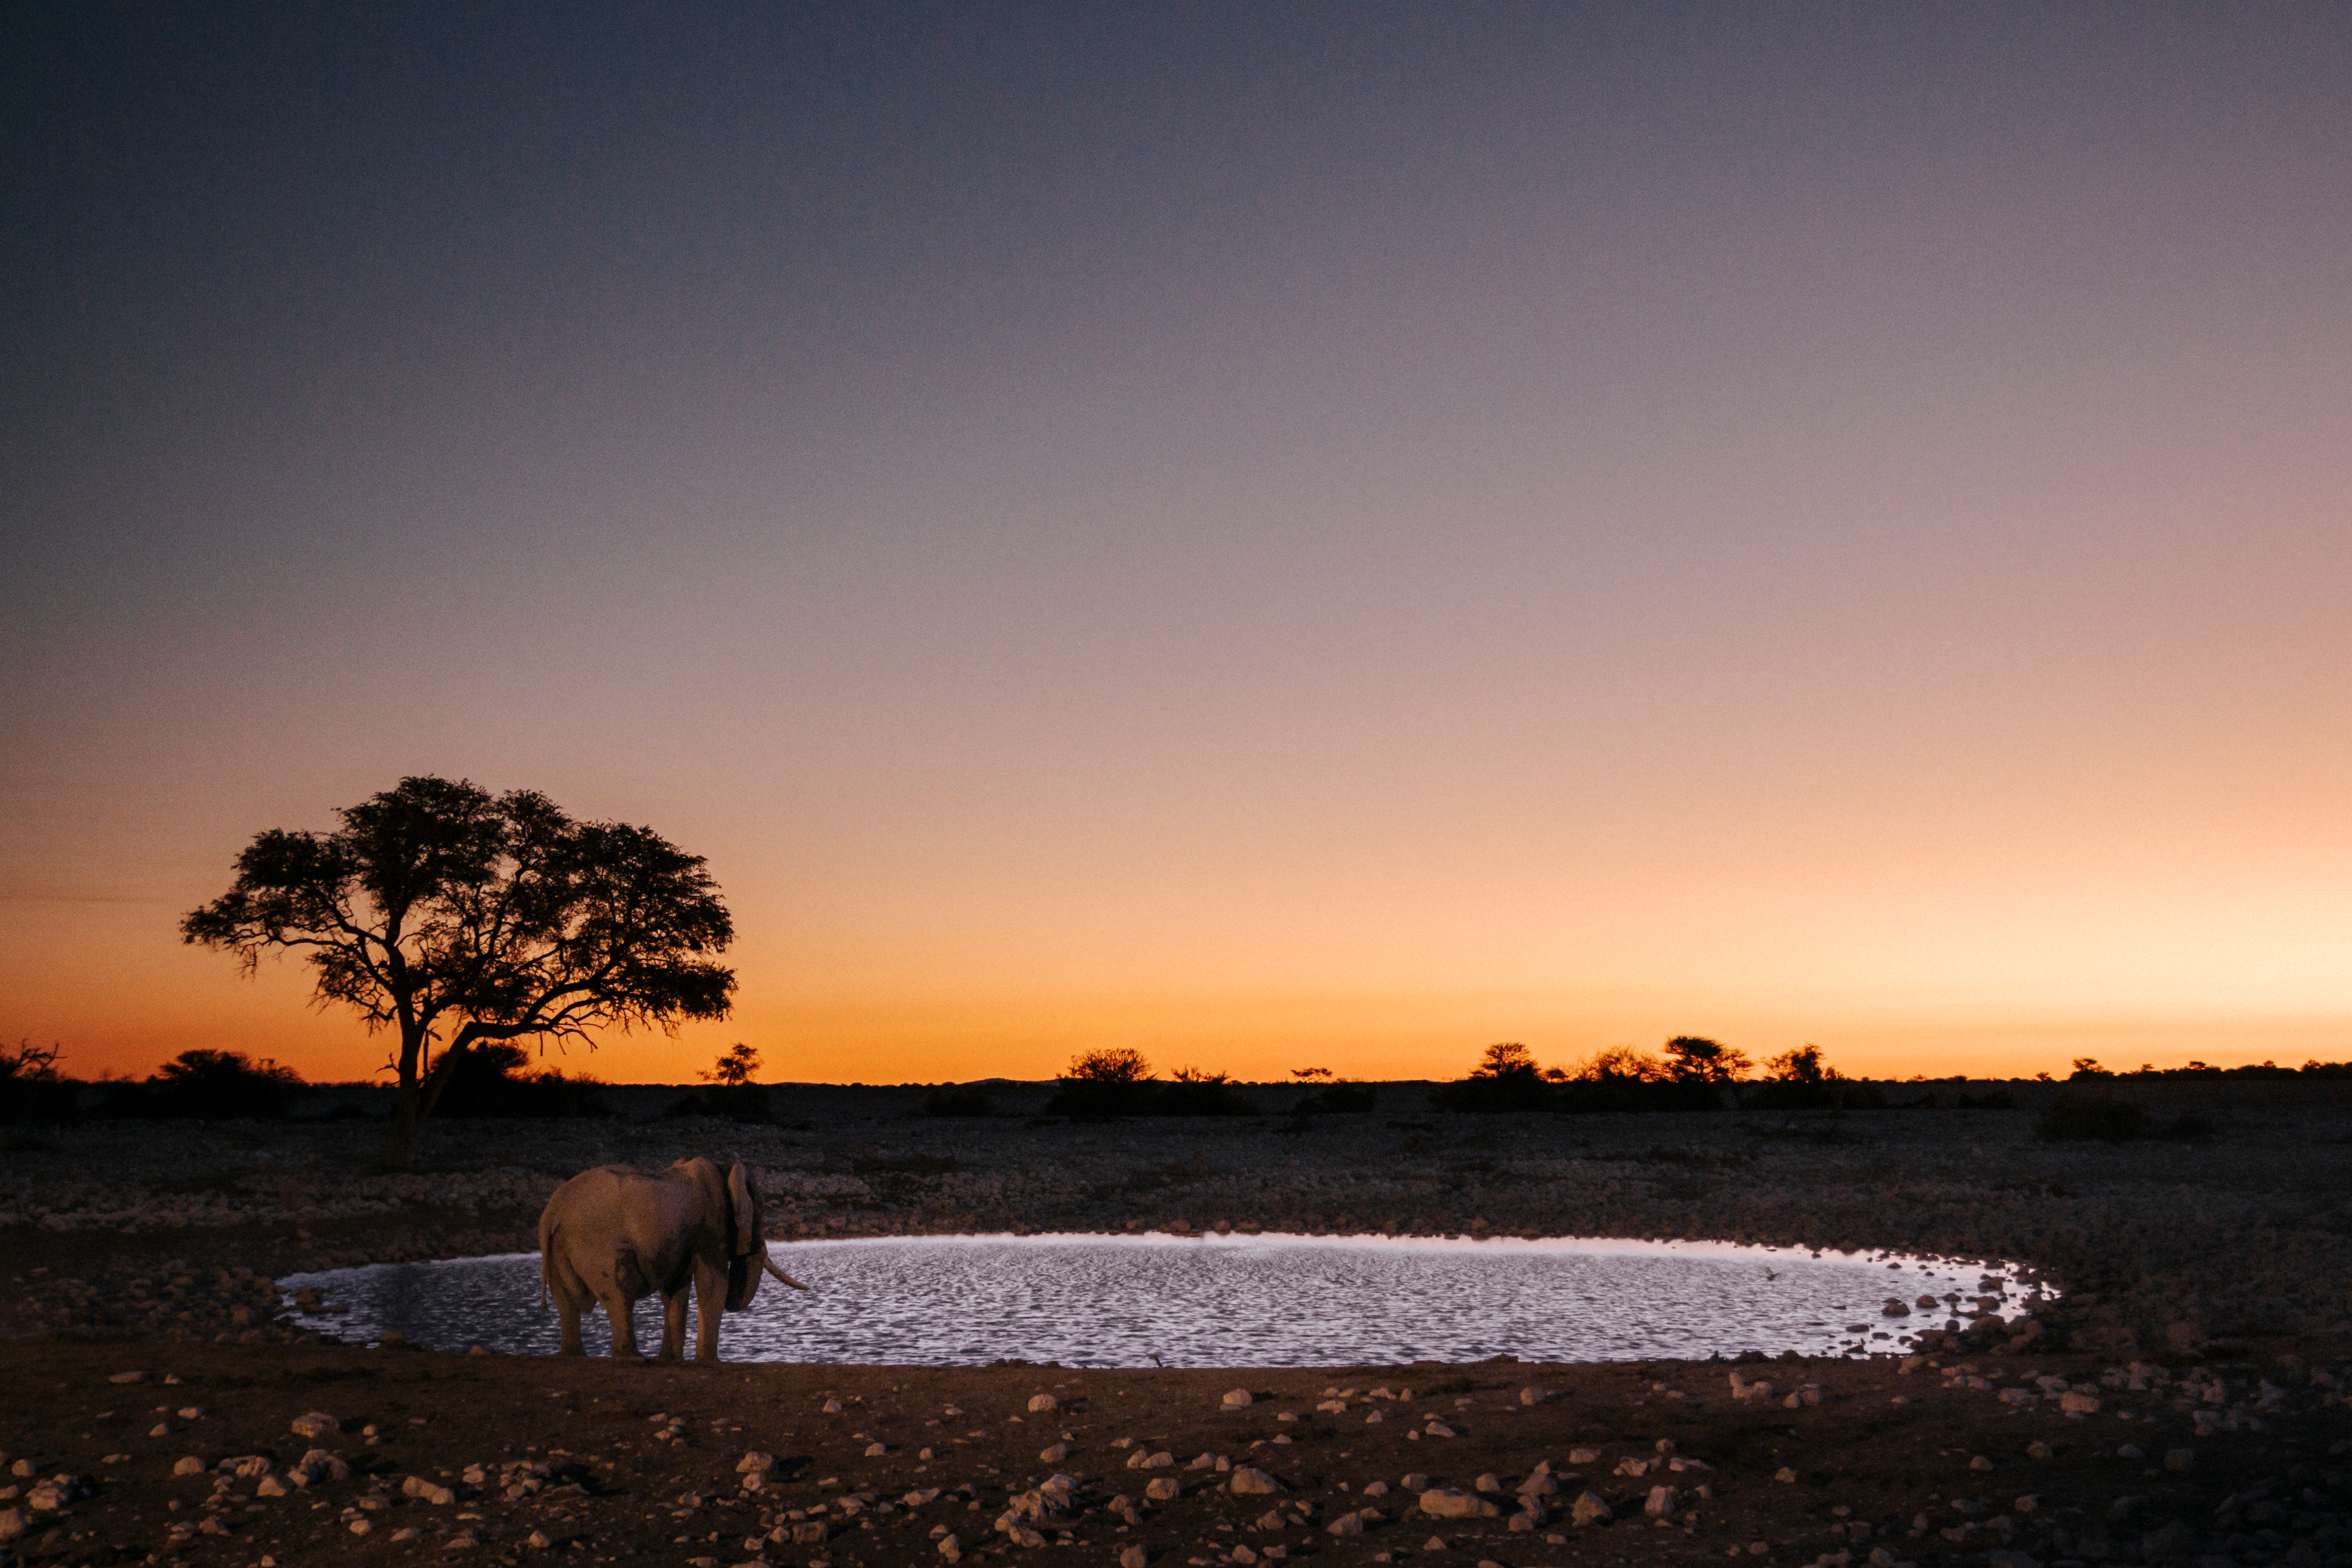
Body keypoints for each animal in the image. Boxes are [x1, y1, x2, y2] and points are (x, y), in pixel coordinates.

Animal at [538, 1157, 806, 1360]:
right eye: (760, 1210)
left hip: (556, 1247)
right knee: (619, 1292)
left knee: (565, 1303)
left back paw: (573, 1356)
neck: (725, 1169)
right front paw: (709, 1363)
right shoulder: (710, 1227)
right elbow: (713, 1283)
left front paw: (669, 1360)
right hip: (597, 1245)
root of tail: (553, 1211)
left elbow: (676, 1290)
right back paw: (633, 1359)